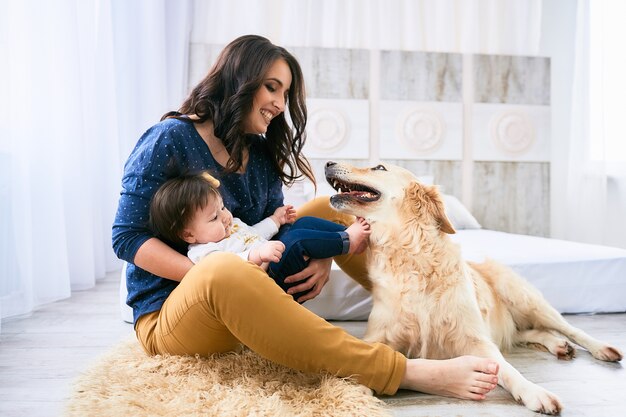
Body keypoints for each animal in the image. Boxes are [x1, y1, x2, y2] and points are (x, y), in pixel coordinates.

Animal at [324, 161, 620, 414]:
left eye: (379, 167)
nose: (328, 163)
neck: (410, 256)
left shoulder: (474, 338)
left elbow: (507, 369)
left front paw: (535, 392)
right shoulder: (379, 337)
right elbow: (368, 362)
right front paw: (354, 397)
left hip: (525, 300)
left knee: (569, 328)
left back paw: (600, 348)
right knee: (526, 333)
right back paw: (559, 345)